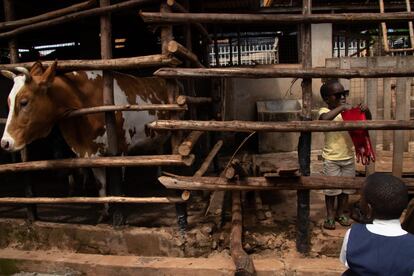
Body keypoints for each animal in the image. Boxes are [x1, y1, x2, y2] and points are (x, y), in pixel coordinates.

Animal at [0, 61, 171, 212]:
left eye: (24, 102)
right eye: (8, 102)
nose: (5, 142)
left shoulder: (121, 148)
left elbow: (118, 181)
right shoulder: (91, 151)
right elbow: (101, 184)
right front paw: (105, 213)